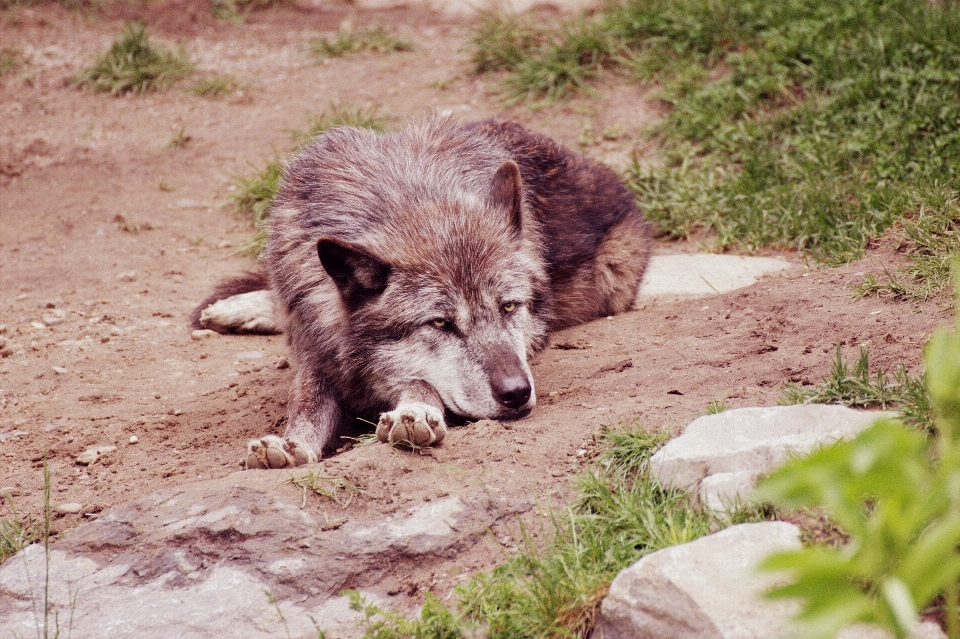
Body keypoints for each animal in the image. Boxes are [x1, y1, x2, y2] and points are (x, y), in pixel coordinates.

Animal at [191, 119, 648, 470]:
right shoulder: (316, 344)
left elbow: (418, 381)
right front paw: (292, 444)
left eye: (509, 306)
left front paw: (414, 413)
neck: (405, 197)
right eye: (441, 323)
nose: (518, 393)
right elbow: (306, 403)